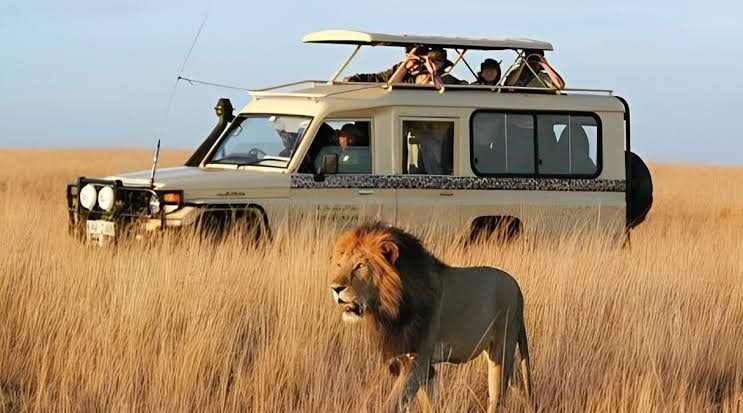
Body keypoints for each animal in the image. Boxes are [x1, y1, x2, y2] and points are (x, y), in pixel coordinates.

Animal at [329, 222, 532, 413]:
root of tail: (518, 288)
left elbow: (392, 404)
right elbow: (428, 404)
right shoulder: (414, 362)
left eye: (359, 266)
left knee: (497, 396)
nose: (335, 288)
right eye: (339, 265)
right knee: (519, 385)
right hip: (495, 352)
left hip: (502, 348)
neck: (393, 306)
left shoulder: (418, 361)